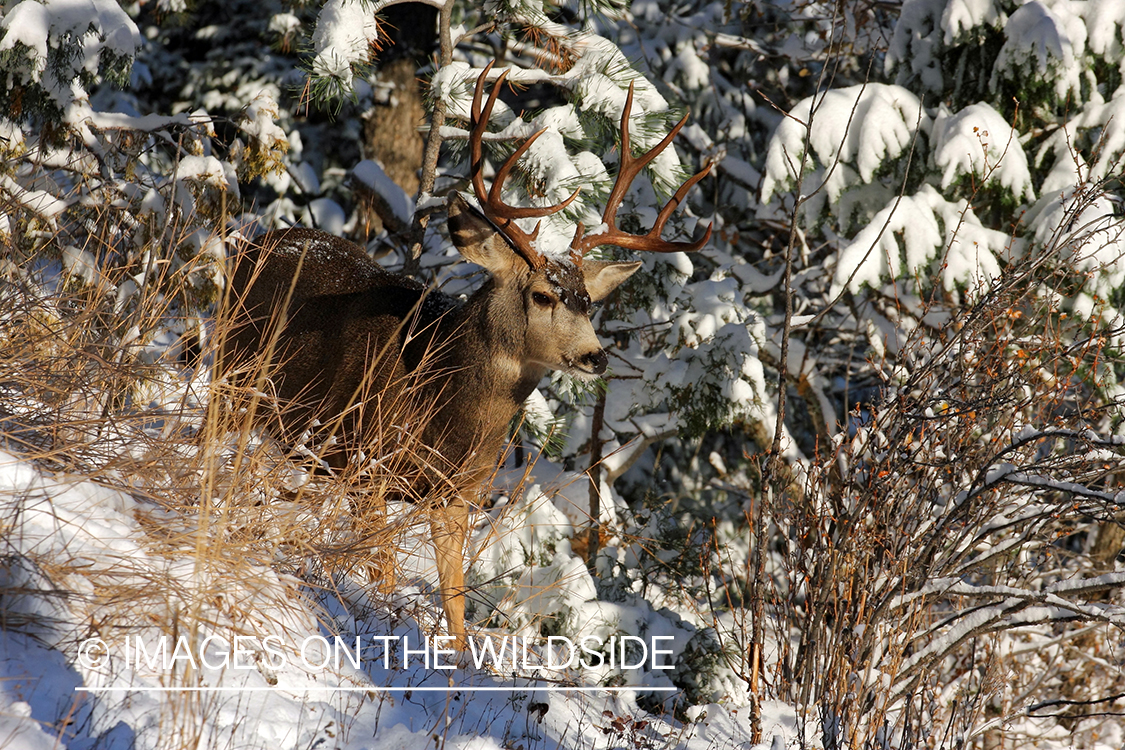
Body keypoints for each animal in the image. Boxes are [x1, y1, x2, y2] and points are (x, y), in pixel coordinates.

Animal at [221, 63, 711, 648]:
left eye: (588, 302)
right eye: (542, 296)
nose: (595, 357)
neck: (443, 402)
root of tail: (258, 240)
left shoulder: (458, 495)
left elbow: (454, 603)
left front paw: (456, 661)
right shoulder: (365, 462)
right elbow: (382, 576)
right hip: (236, 374)